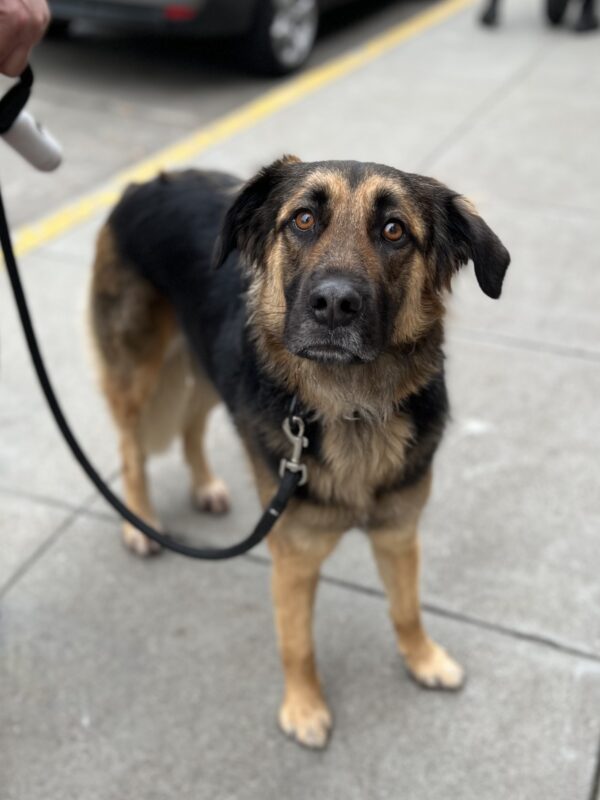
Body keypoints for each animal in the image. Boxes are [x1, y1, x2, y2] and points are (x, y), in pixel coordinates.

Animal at [90, 158, 510, 752]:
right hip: (138, 371)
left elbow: (406, 609)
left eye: (394, 230)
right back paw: (140, 522)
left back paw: (204, 486)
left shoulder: (398, 532)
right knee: (130, 444)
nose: (334, 304)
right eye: (304, 219)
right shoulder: (293, 558)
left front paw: (423, 660)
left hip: (206, 365)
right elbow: (298, 644)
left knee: (192, 421)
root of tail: (146, 181)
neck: (352, 408)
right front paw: (306, 708)